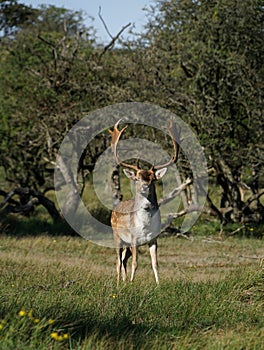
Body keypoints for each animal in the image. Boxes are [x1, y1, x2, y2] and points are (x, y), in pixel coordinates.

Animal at [108, 119, 180, 284]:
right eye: (137, 178)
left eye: (153, 178)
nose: (145, 186)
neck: (145, 226)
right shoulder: (134, 238)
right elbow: (135, 263)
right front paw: (132, 283)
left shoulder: (154, 239)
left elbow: (155, 263)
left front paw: (158, 285)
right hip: (117, 236)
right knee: (118, 261)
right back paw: (118, 283)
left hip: (126, 243)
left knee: (123, 260)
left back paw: (123, 281)